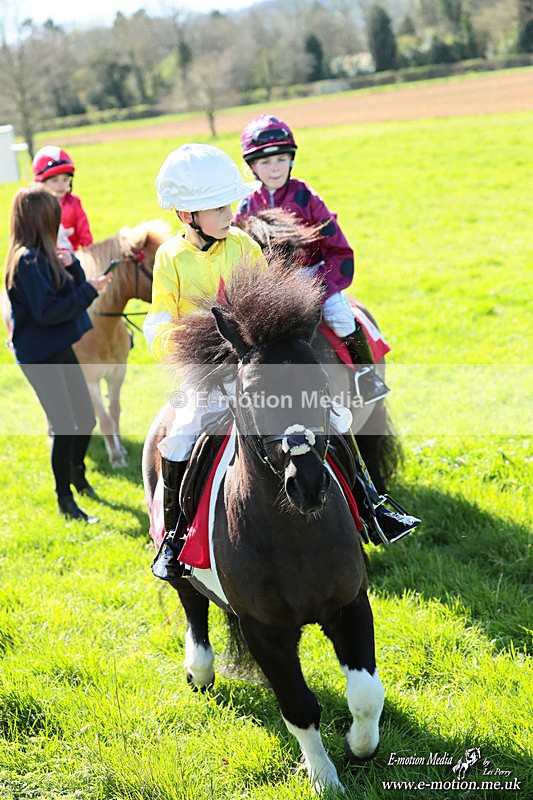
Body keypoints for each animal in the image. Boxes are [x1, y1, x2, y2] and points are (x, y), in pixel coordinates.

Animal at [142, 259, 384, 794]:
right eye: (254, 391)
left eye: (322, 383)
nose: (307, 483)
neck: (295, 537)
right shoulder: (264, 631)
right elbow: (299, 707)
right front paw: (325, 780)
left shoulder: (350, 605)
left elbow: (365, 694)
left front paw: (360, 749)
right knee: (191, 602)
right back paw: (199, 669)